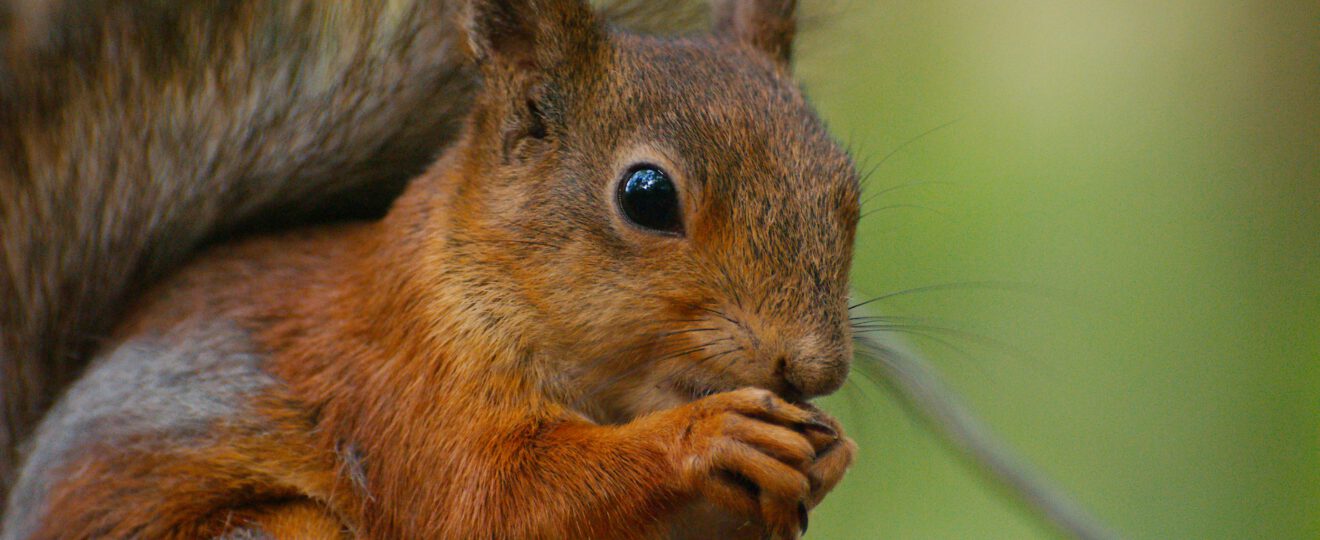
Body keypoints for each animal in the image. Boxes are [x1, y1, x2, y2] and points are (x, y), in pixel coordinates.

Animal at [1, 0, 861, 538]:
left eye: (846, 186)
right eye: (646, 195)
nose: (814, 369)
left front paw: (829, 454)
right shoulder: (402, 389)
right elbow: (490, 499)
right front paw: (709, 432)